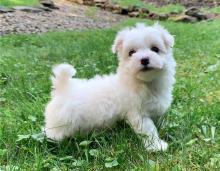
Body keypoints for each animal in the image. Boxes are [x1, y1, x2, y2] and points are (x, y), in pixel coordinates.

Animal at [43, 22, 176, 151]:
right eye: (131, 52)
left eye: (155, 49)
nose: (144, 59)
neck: (145, 83)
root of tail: (62, 87)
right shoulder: (138, 113)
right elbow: (148, 130)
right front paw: (156, 146)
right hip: (61, 123)